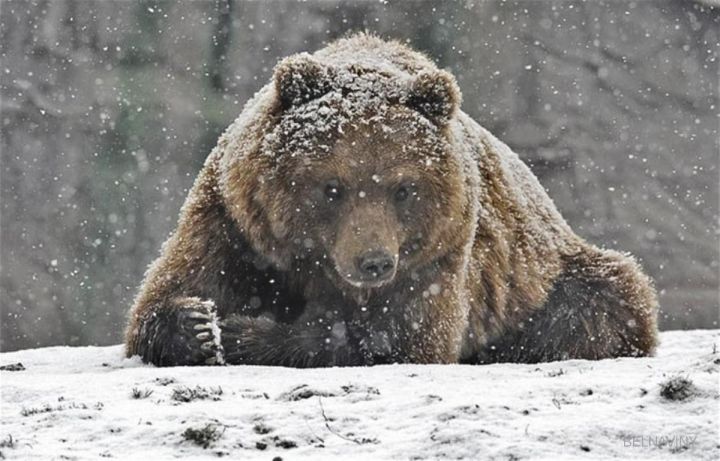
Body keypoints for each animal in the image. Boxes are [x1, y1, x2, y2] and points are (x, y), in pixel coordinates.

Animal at [125, 34, 660, 366]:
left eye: (404, 188)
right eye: (332, 187)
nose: (374, 262)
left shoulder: (440, 251)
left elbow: (398, 338)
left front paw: (244, 334)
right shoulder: (235, 222)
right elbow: (170, 291)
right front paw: (197, 326)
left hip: (543, 278)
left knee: (605, 298)